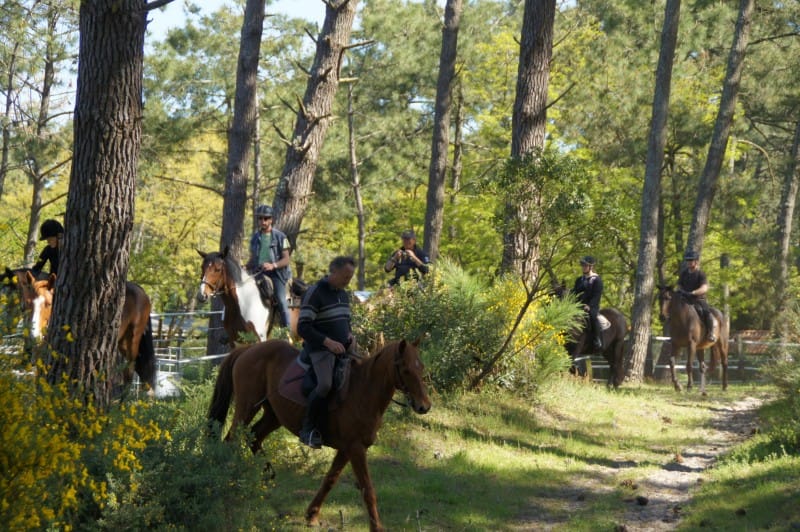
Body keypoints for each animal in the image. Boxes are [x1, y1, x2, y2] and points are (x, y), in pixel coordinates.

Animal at [28, 272, 156, 388]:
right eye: (29, 304)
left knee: (130, 371)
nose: (34, 334)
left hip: (132, 343)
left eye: (48, 304)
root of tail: (140, 290)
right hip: (122, 344)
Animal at [206, 338, 432, 528]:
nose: (424, 406)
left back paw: (266, 477)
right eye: (405, 370)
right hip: (246, 408)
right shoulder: (356, 449)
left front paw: (312, 515)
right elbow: (368, 489)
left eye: (421, 367)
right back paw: (227, 481)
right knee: (231, 440)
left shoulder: (347, 450)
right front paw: (376, 527)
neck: (364, 391)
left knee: (255, 436)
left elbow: (330, 480)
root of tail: (249, 348)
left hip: (273, 416)